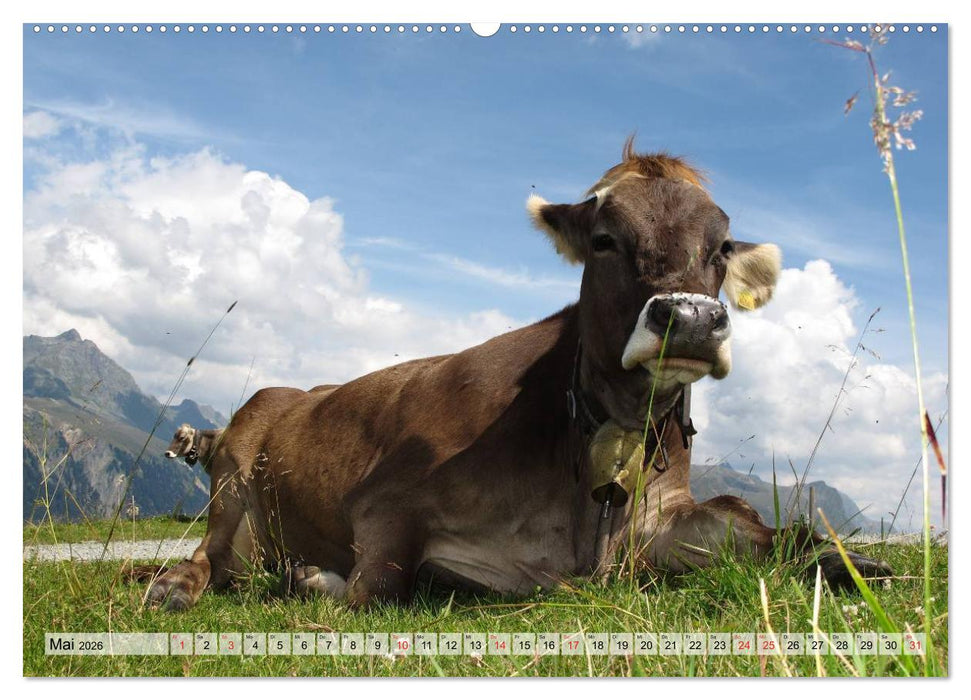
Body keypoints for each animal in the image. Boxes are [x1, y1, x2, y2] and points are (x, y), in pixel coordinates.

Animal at [144, 140, 890, 611]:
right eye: (604, 239)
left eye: (721, 247)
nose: (690, 318)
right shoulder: (383, 502)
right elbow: (378, 587)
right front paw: (321, 582)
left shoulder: (663, 519)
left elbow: (762, 530)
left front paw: (851, 564)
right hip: (235, 481)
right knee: (211, 557)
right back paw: (181, 586)